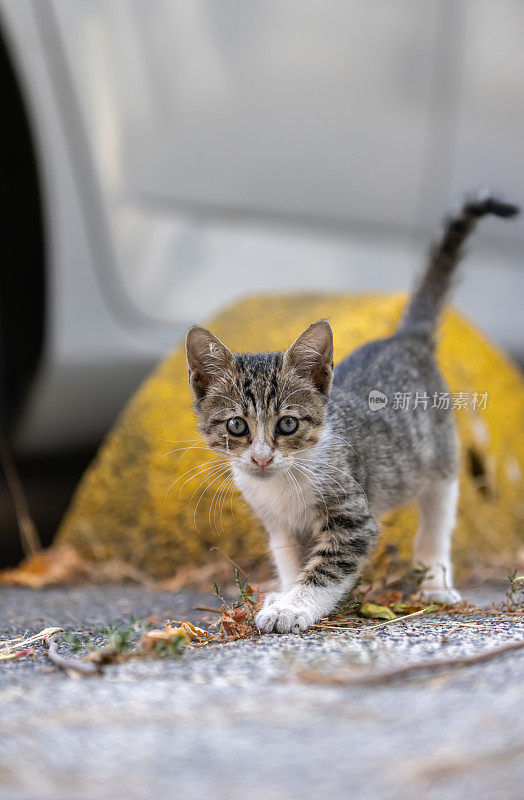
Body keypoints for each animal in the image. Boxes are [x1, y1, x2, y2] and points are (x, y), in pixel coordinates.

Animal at [186, 192, 516, 632]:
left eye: (287, 424)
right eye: (237, 426)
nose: (261, 458)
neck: (284, 482)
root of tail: (403, 339)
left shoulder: (353, 517)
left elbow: (326, 568)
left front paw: (293, 607)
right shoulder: (279, 523)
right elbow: (291, 560)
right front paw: (284, 592)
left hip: (441, 460)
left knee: (437, 520)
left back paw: (434, 583)